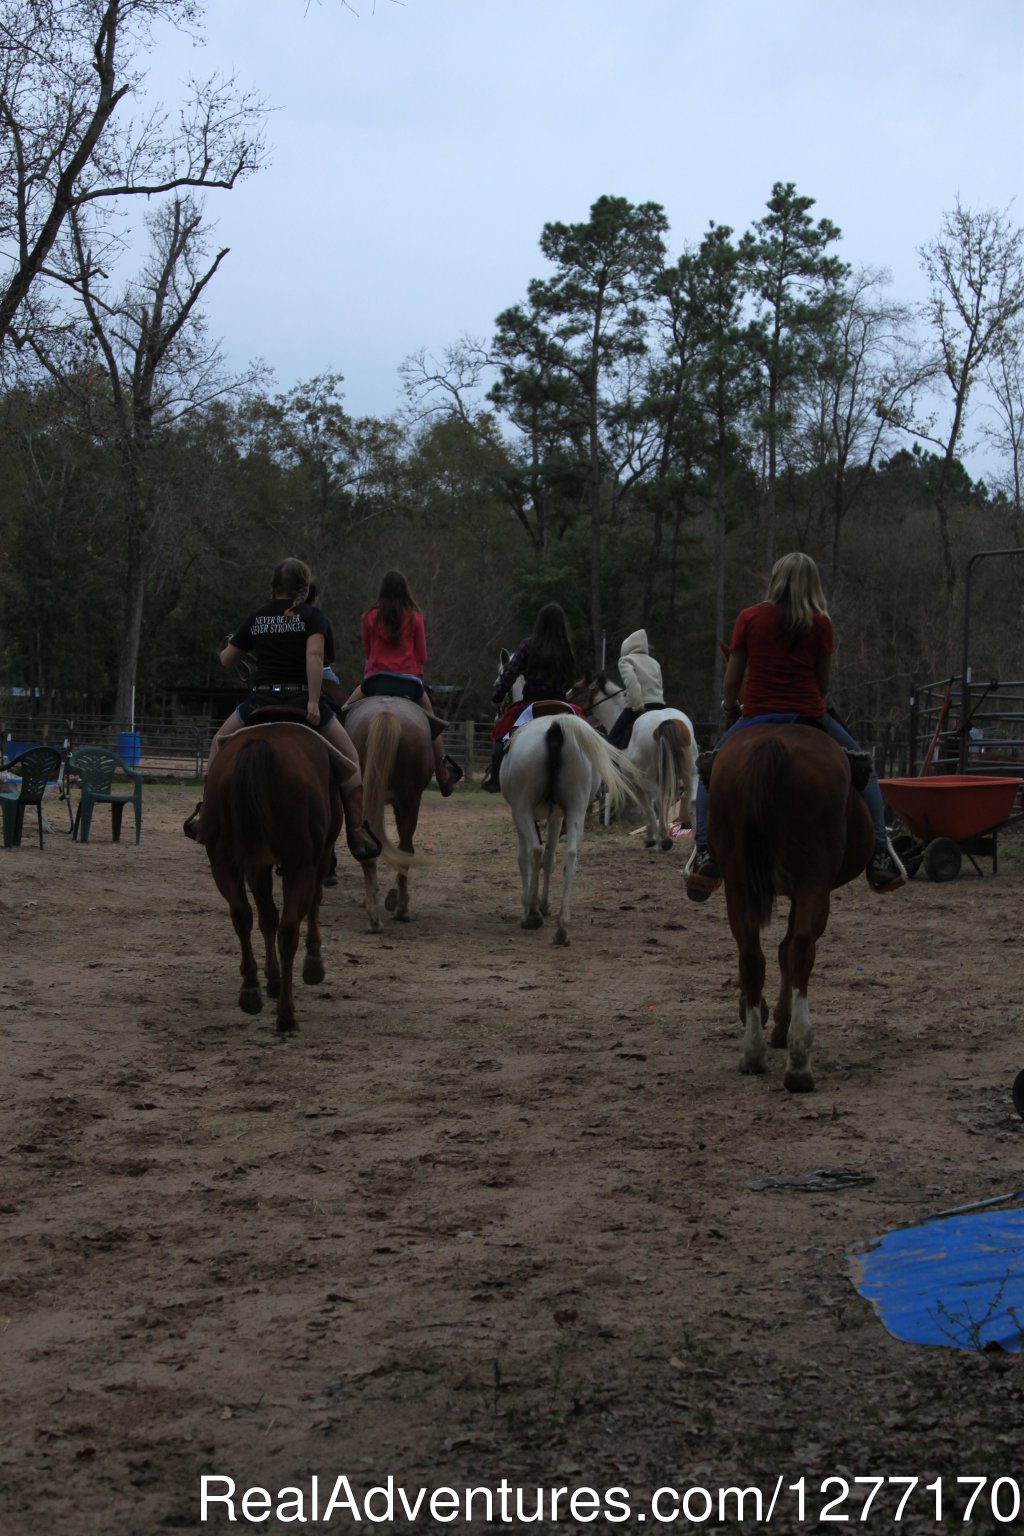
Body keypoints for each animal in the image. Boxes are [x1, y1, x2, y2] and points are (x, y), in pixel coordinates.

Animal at [202, 718, 350, 1032]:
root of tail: (260, 745)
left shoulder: (256, 864)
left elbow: (265, 917)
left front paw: (271, 978)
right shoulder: (315, 859)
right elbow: (310, 905)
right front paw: (312, 964)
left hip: (223, 863)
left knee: (242, 916)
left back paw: (251, 991)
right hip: (300, 864)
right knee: (289, 928)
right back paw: (286, 1014)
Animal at [343, 700, 432, 933]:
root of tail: (386, 713)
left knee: (367, 850)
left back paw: (374, 917)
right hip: (409, 799)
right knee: (405, 849)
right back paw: (400, 909)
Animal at [497, 709, 641, 946]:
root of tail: (556, 725)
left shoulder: (524, 814)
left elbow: (525, 858)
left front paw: (531, 906)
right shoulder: (556, 816)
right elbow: (550, 859)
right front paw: (545, 905)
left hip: (522, 808)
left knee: (534, 850)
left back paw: (532, 915)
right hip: (576, 809)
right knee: (570, 855)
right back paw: (562, 928)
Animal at [574, 675, 700, 854]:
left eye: (576, 688)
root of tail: (666, 722)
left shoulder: (634, 784)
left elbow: (647, 807)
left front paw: (652, 838)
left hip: (645, 778)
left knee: (661, 799)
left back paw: (664, 839)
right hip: (690, 771)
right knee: (692, 800)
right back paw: (694, 842)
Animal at [712, 721, 872, 1093]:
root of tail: (773, 744)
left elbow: (778, 949)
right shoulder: (807, 889)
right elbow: (789, 949)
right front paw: (782, 1027)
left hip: (738, 882)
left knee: (751, 955)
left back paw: (753, 1053)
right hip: (814, 879)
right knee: (801, 949)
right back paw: (799, 1061)